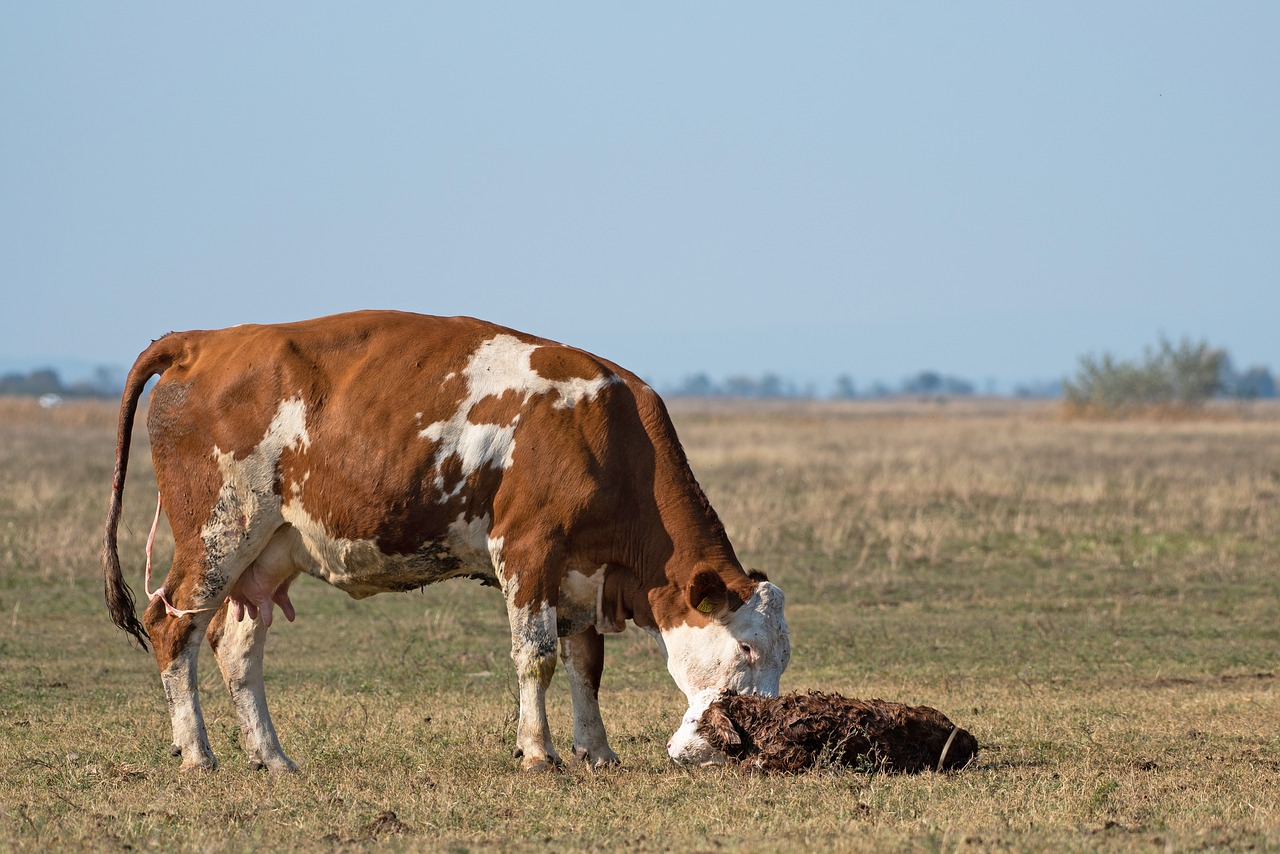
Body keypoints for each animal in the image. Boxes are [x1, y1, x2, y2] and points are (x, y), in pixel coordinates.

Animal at [102, 311, 788, 773]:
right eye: (747, 649)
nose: (753, 738)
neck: (608, 436)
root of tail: (202, 342)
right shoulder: (529, 551)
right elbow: (536, 657)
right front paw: (538, 754)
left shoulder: (580, 573)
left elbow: (586, 665)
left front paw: (597, 753)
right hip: (218, 534)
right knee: (173, 628)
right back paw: (198, 755)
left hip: (268, 551)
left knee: (235, 646)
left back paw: (272, 757)